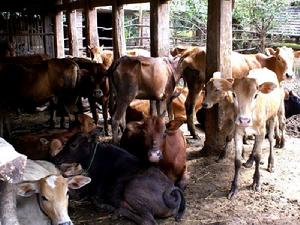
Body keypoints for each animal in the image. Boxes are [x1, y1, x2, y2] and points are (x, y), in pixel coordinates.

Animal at [52, 133, 186, 224]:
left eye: (73, 145)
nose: (56, 158)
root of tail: (174, 196)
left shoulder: (94, 190)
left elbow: (89, 197)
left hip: (131, 188)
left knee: (148, 221)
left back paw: (118, 211)